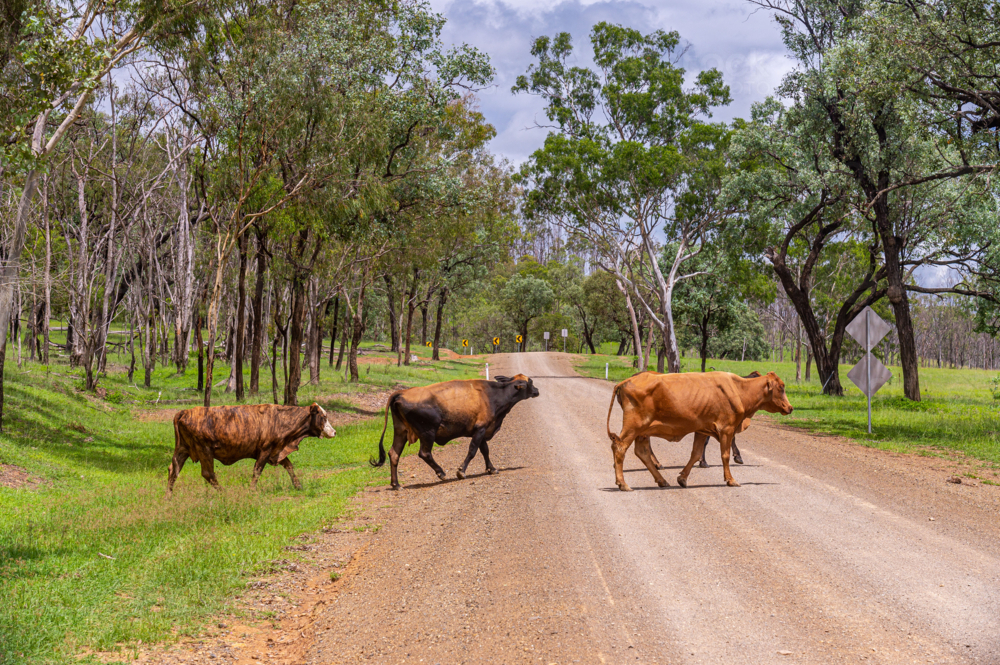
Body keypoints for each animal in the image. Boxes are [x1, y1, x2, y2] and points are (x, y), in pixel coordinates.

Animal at [167, 403, 336, 494]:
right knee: (208, 474)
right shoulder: (265, 451)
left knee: (173, 470)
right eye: (323, 417)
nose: (334, 432)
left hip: (182, 450)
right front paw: (252, 490)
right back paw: (223, 493)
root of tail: (184, 412)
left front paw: (298, 485)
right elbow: (257, 471)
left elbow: (289, 466)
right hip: (205, 451)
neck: (280, 419)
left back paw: (169, 496)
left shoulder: (276, 451)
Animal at [370, 374, 540, 489]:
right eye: (530, 382)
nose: (537, 390)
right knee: (424, 453)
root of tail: (402, 392)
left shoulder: (482, 431)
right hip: (428, 433)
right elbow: (473, 451)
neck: (493, 395)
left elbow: (485, 451)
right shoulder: (481, 429)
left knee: (394, 454)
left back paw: (396, 484)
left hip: (401, 431)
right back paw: (441, 473)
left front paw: (492, 468)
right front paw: (461, 471)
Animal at [605, 371, 793, 491]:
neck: (739, 389)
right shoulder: (727, 429)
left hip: (642, 432)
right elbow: (724, 455)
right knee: (620, 448)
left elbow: (695, 454)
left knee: (642, 452)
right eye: (781, 387)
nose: (790, 408)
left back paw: (662, 480)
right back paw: (623, 484)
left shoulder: (702, 430)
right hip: (633, 427)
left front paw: (682, 478)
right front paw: (731, 480)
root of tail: (627, 381)